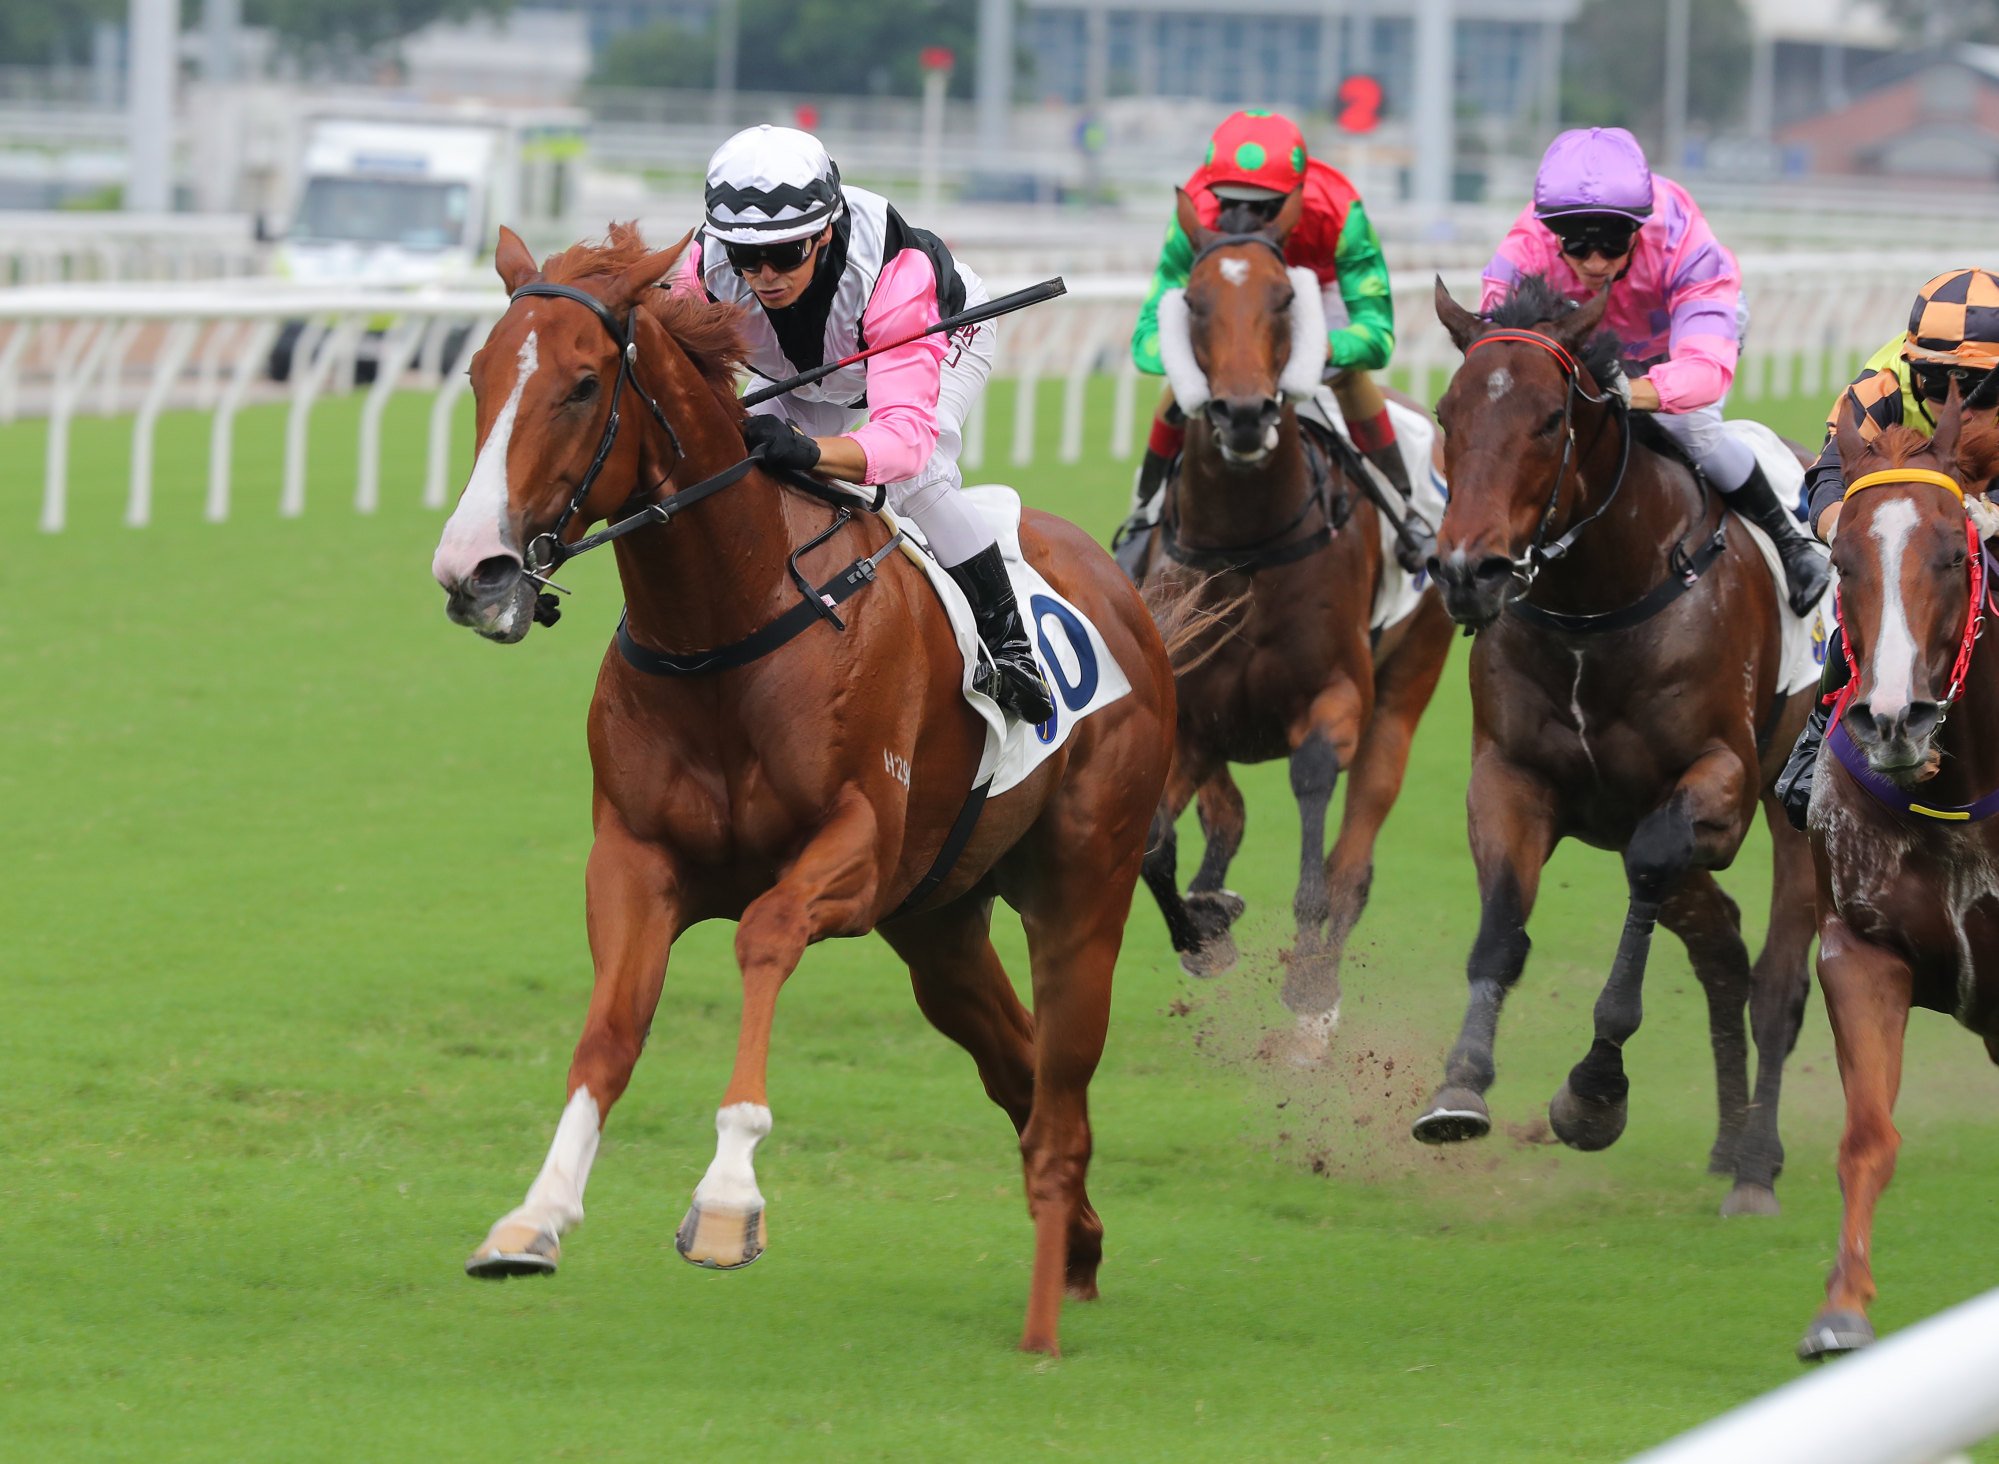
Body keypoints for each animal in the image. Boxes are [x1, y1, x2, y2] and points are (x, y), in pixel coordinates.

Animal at [419, 223, 1167, 1352]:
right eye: (478, 373)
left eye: (584, 384)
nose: (475, 571)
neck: (726, 624)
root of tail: (1123, 593)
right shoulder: (633, 859)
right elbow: (611, 1028)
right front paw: (535, 1216)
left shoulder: (853, 848)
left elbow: (764, 936)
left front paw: (728, 1199)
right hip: (938, 924)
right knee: (1020, 1067)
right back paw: (1076, 1243)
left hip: (1081, 886)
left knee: (1061, 1071)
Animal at [1135, 189, 1447, 1048]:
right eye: (1192, 301)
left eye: (1283, 299)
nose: (1243, 414)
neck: (1247, 544)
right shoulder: (1186, 714)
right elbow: (1153, 843)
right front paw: (1202, 932)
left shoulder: (1335, 698)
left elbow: (1314, 806)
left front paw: (1304, 983)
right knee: (1226, 817)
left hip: (1405, 689)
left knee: (1354, 856)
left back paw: (1318, 985)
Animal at [1415, 274, 1823, 1216]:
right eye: (1448, 413)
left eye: (1548, 420)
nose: (1467, 571)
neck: (1594, 604)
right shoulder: (1511, 776)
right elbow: (1500, 927)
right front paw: (1459, 1087)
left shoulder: (1719, 787)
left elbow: (1647, 868)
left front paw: (1594, 1092)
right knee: (1721, 946)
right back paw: (1728, 1140)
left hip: (1799, 800)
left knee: (1779, 981)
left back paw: (1755, 1168)